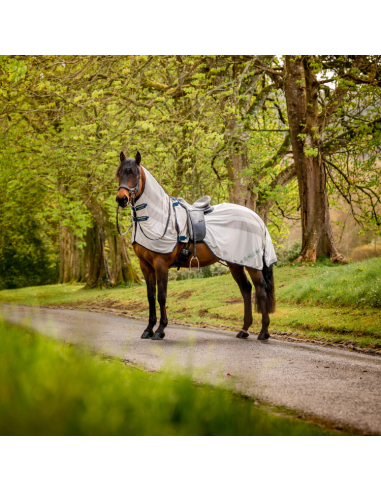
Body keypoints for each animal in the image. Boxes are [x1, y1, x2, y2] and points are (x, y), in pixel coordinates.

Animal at [114, 152, 274, 340]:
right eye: (119, 174)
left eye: (135, 174)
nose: (121, 199)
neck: (156, 218)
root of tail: (256, 218)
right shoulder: (145, 265)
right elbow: (150, 296)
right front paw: (148, 329)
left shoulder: (161, 264)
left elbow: (161, 296)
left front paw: (160, 330)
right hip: (235, 263)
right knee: (246, 289)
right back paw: (244, 329)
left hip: (252, 264)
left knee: (261, 290)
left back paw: (264, 332)